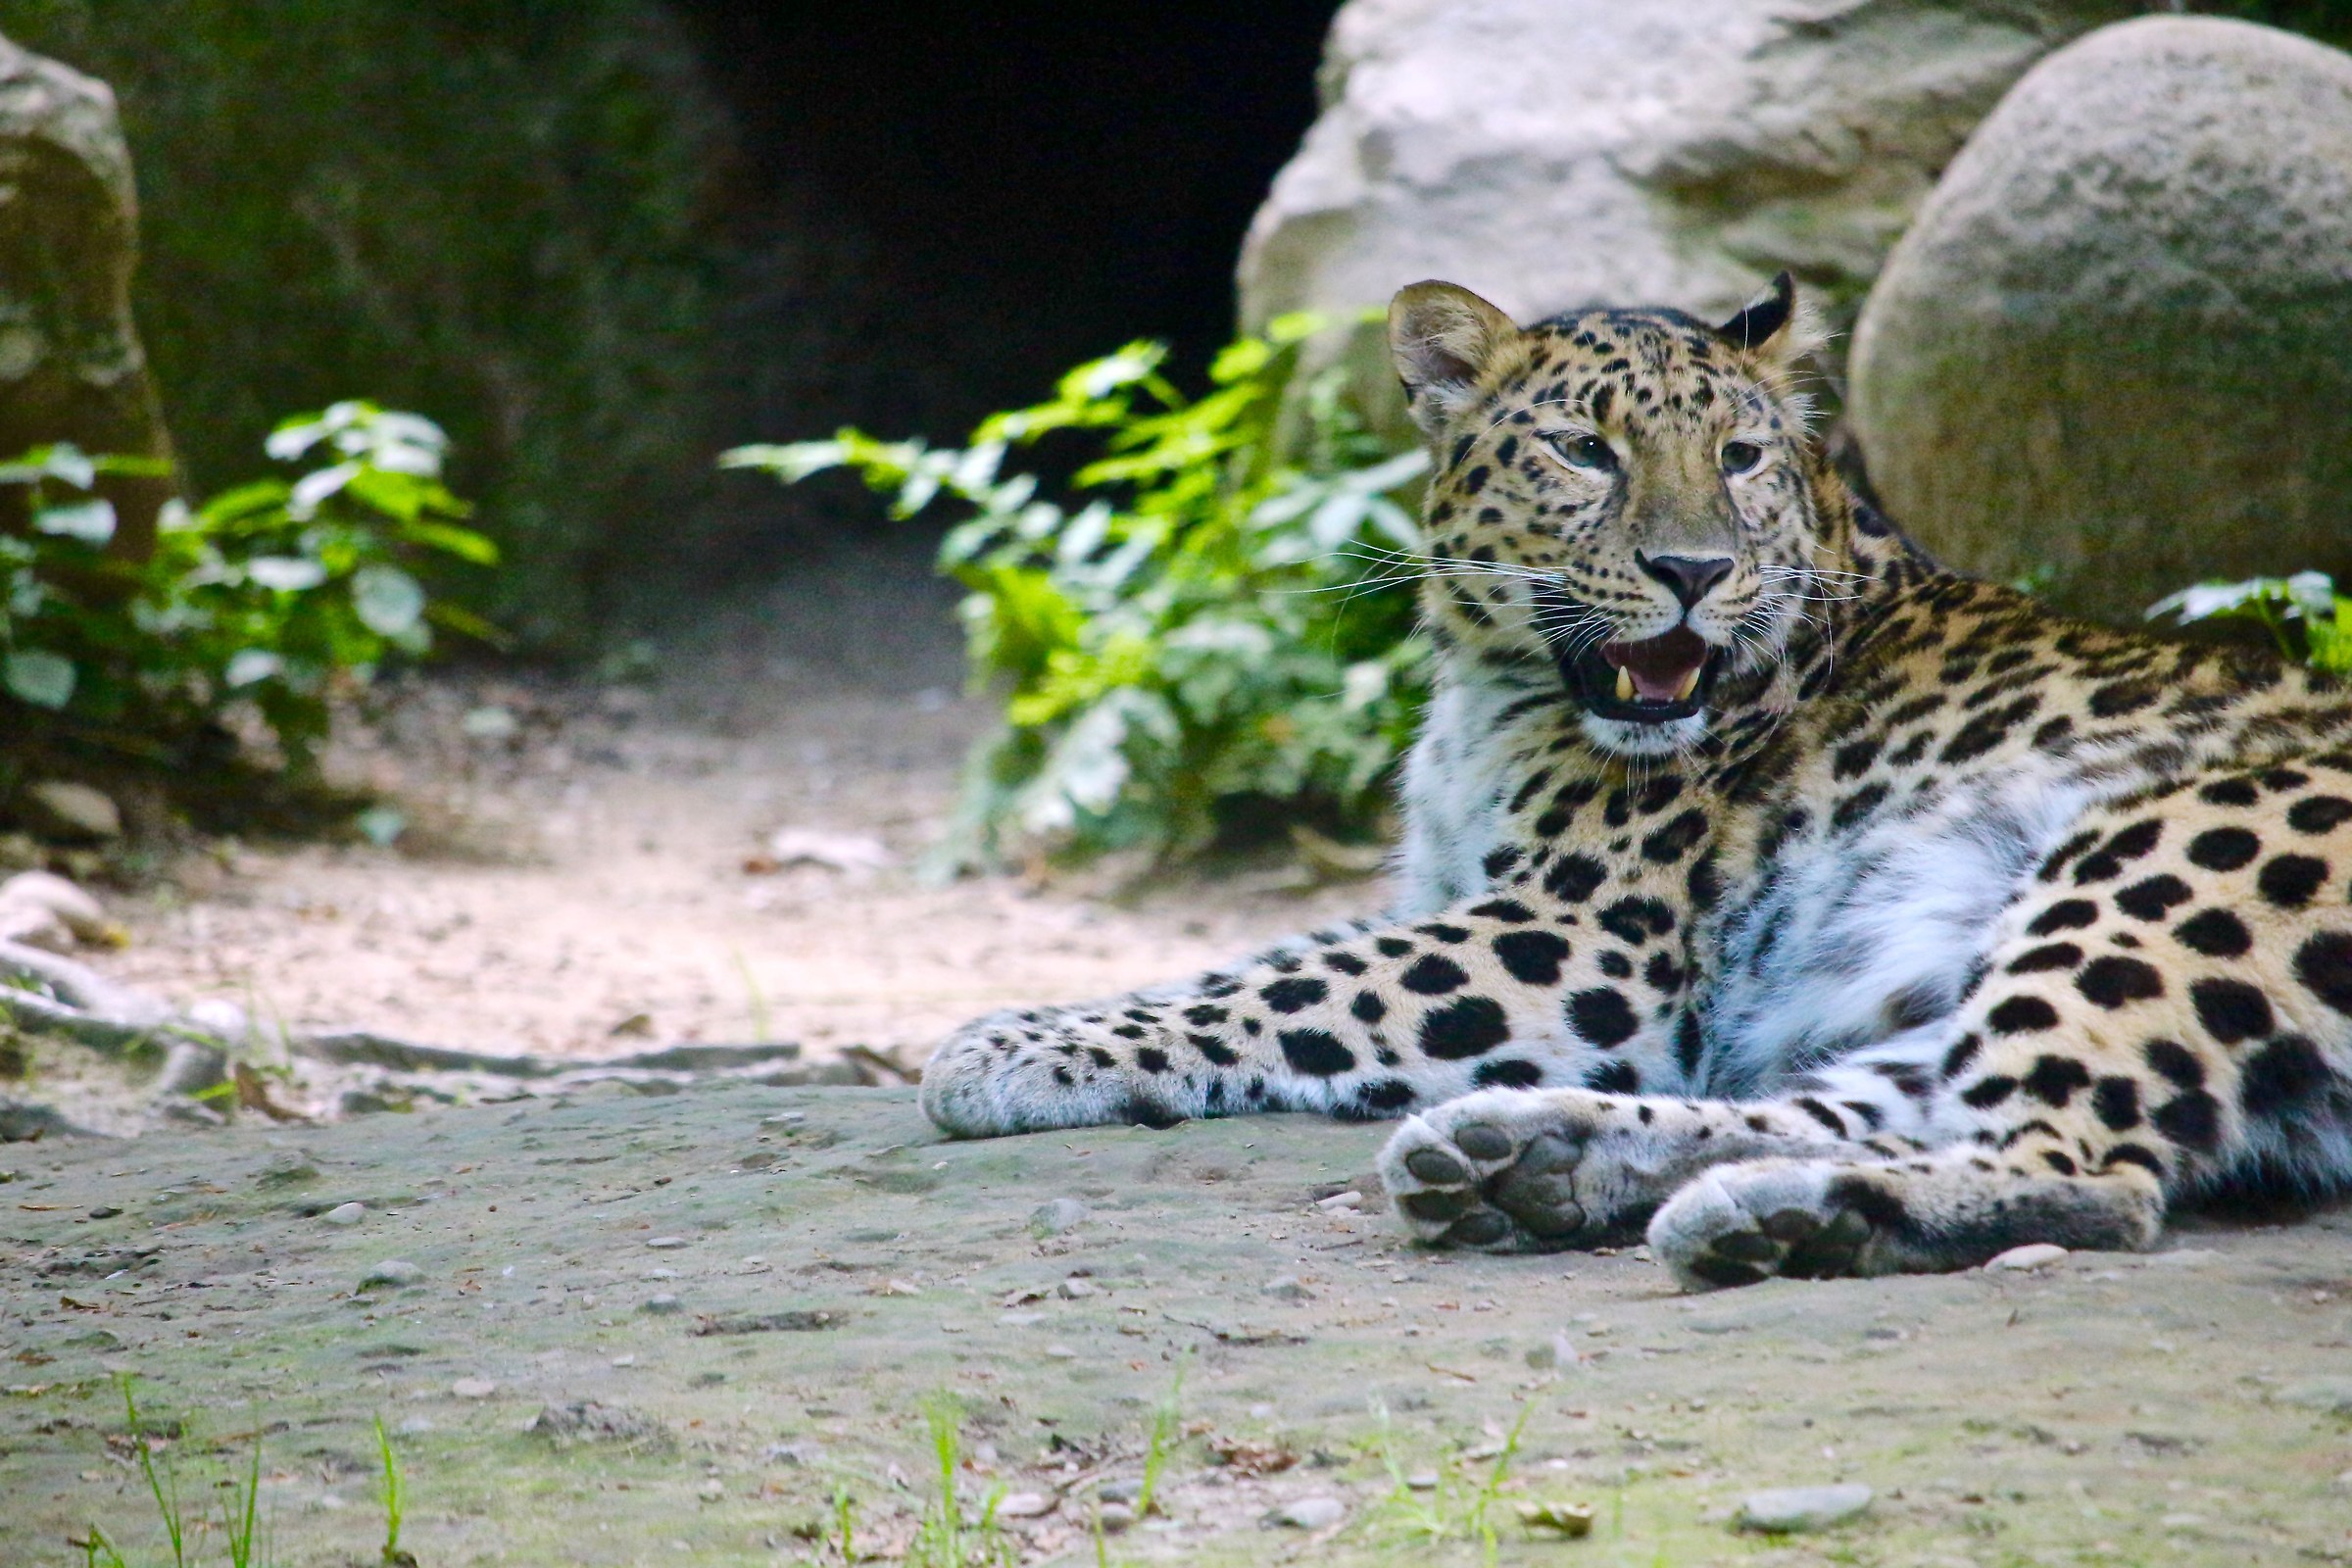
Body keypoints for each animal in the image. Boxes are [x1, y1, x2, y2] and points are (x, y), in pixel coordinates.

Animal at [919, 271, 2352, 1291]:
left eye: (1740, 458)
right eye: (1586, 452)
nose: (1694, 571)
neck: (1491, 694)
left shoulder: (1582, 935)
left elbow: (1296, 984)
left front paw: (1012, 1046)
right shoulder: (1454, 892)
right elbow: (1258, 960)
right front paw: (1040, 1023)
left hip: (2149, 862)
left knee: (2091, 1169)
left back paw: (1756, 1216)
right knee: (1893, 1106)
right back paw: (1535, 1155)